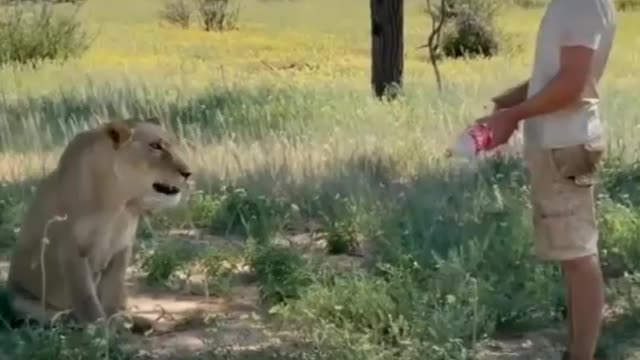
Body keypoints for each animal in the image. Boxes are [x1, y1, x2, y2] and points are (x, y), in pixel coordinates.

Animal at [0, 118, 192, 332]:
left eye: (174, 145)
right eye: (155, 146)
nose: (188, 173)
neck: (117, 202)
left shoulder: (122, 248)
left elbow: (112, 292)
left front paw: (116, 322)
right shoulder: (71, 250)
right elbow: (86, 297)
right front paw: (100, 329)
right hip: (22, 301)